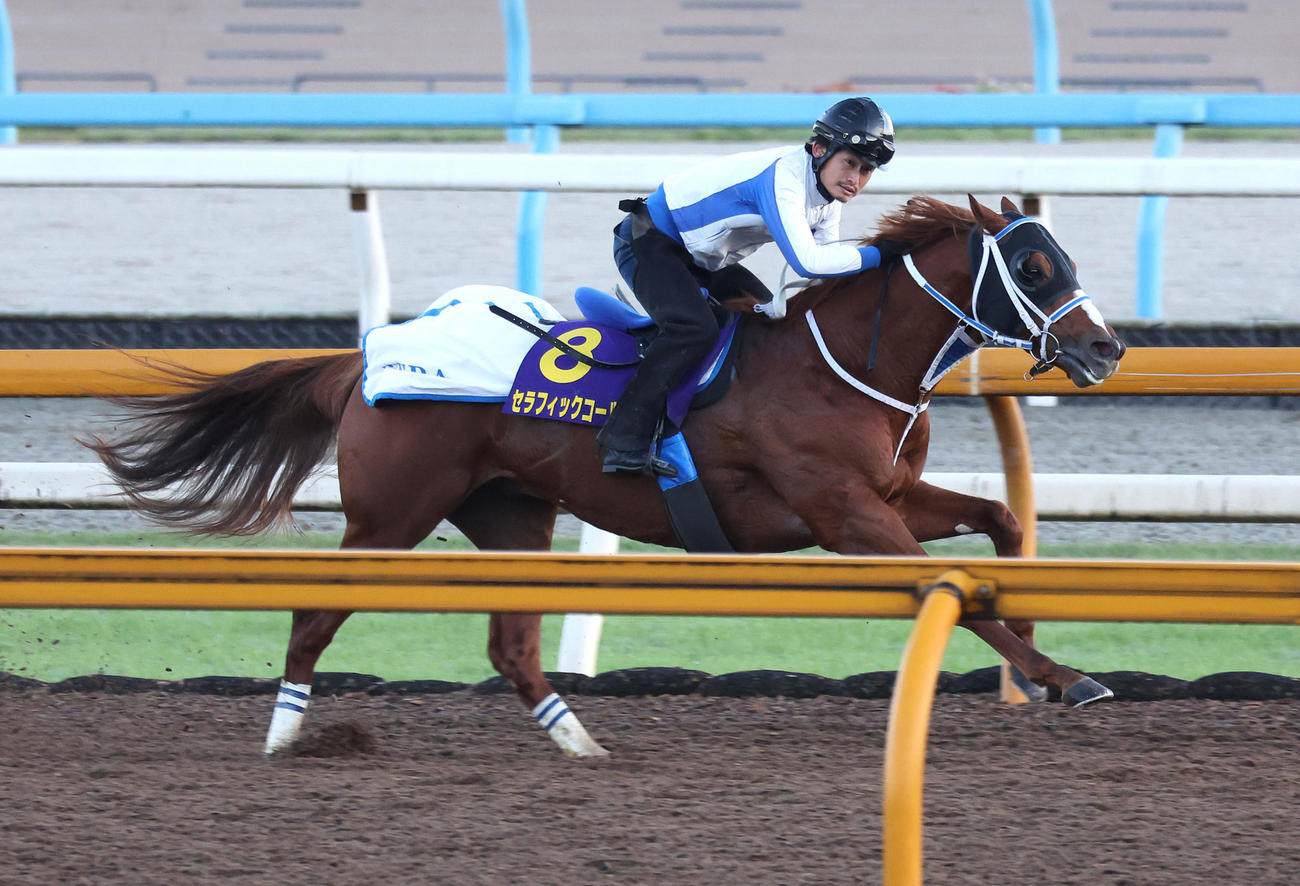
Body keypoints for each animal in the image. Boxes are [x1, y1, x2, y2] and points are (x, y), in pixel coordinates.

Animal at [85, 195, 1126, 758]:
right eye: (1036, 266)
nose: (1104, 348)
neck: (842, 362)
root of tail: (372, 355)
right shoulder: (846, 515)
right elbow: (957, 588)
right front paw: (1066, 677)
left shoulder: (892, 496)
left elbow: (1001, 521)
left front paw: (1039, 663)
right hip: (388, 517)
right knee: (311, 615)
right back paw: (285, 738)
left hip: (513, 516)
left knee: (509, 648)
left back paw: (582, 744)